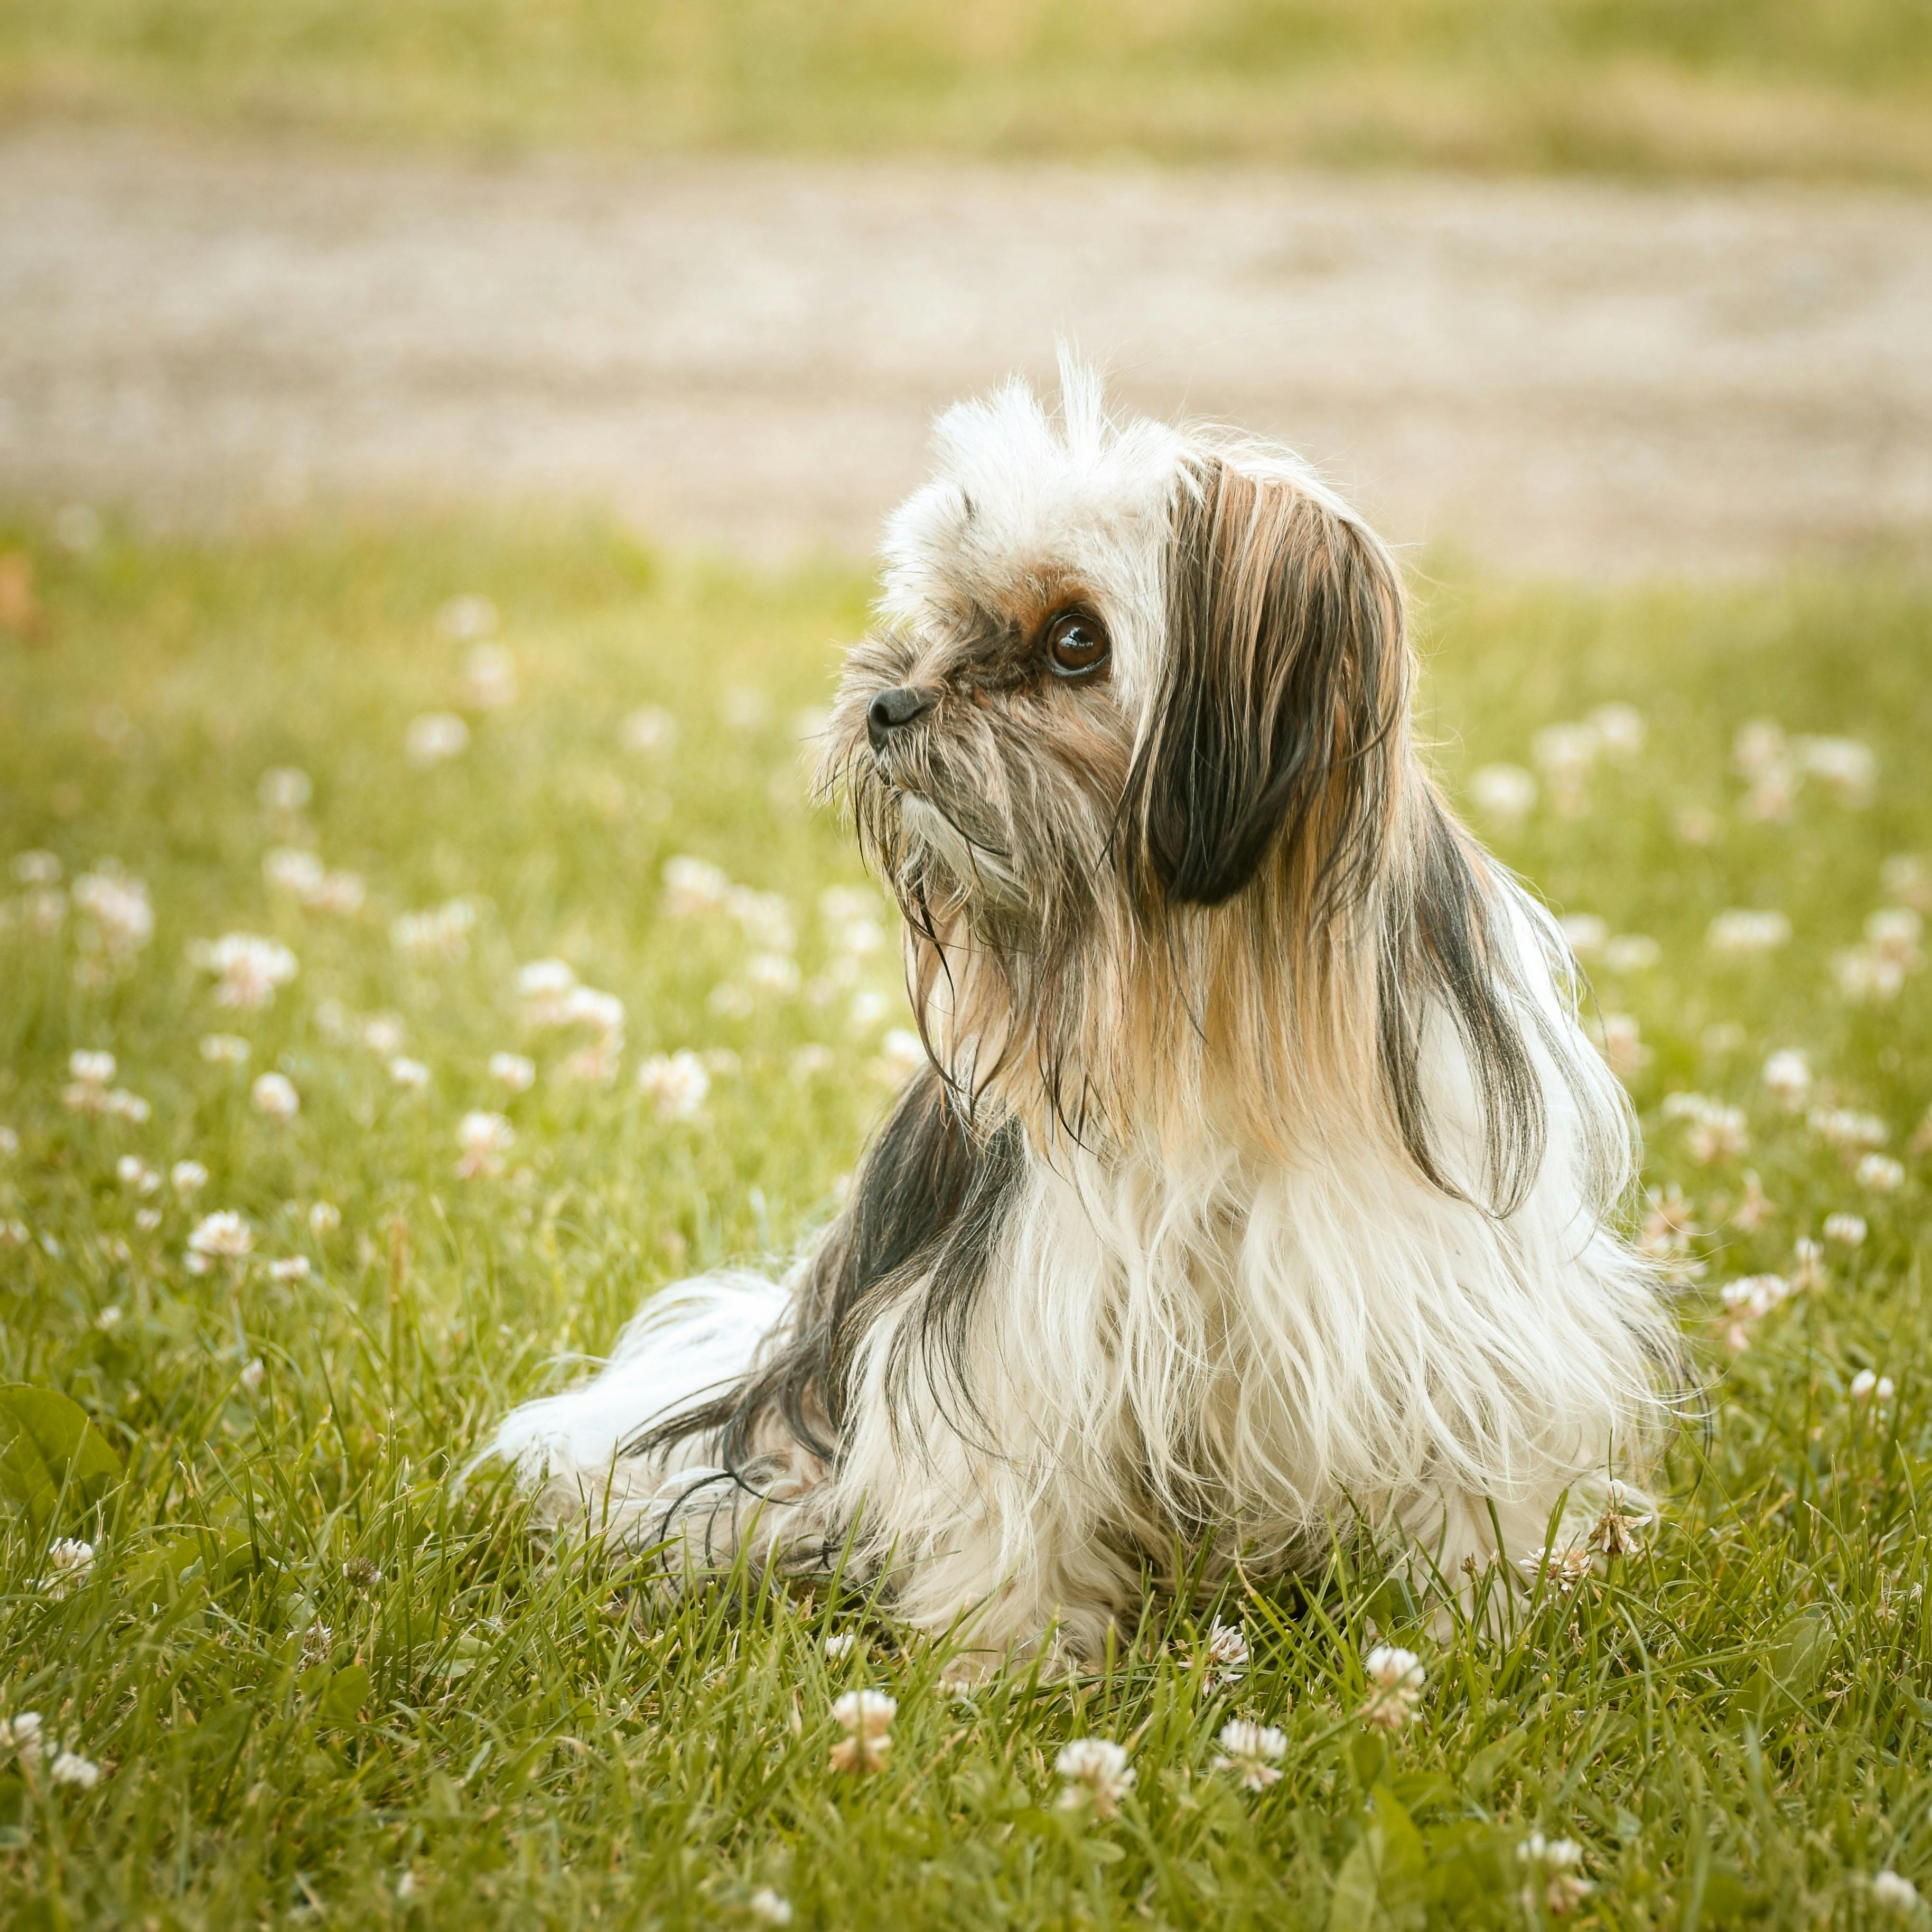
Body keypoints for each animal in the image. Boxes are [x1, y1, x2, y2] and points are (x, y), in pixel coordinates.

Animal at [487, 359, 1677, 1662]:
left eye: (1074, 640)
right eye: (946, 615)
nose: (891, 703)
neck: (1204, 978)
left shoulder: (1451, 1283)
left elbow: (1474, 1466)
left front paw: (1487, 1620)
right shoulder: (1017, 1315)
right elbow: (1016, 1490)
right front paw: (1005, 1661)